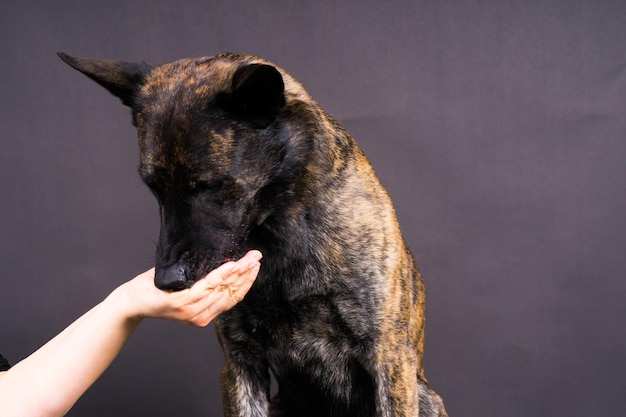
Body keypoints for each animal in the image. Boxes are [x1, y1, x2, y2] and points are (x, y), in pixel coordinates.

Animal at [58, 50, 446, 414]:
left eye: (208, 185)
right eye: (153, 187)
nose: (167, 281)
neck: (282, 230)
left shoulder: (388, 359)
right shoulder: (240, 360)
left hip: (424, 396)